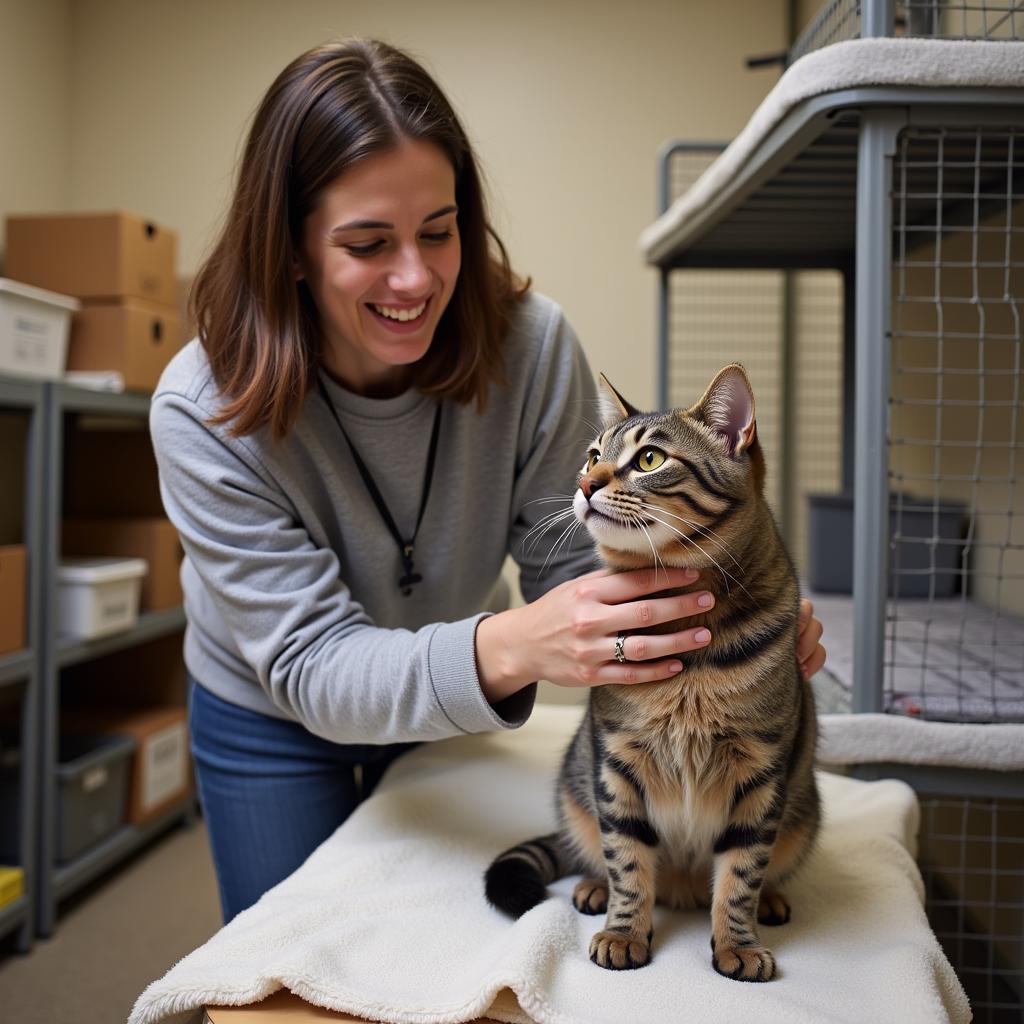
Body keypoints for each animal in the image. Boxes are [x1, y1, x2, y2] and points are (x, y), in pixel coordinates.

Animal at [483, 364, 819, 978]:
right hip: (578, 788)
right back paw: (593, 888)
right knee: (601, 856)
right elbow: (629, 862)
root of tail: (683, 888)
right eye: (592, 455)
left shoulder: (760, 771)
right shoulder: (618, 760)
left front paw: (737, 943)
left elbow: (740, 875)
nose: (586, 484)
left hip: (802, 815)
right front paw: (623, 931)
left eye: (648, 459)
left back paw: (772, 901)